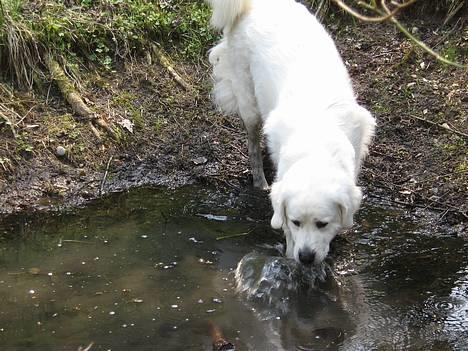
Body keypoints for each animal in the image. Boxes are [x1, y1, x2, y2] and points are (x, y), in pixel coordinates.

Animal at [207, 0, 374, 266]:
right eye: (296, 222)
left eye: (322, 224)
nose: (305, 257)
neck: (316, 146)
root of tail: (253, 6)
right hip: (248, 102)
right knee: (252, 143)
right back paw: (260, 181)